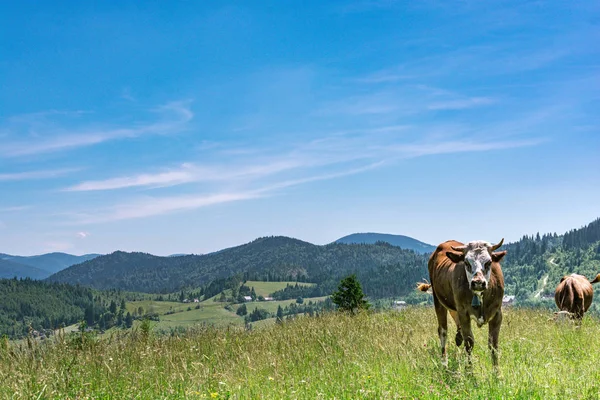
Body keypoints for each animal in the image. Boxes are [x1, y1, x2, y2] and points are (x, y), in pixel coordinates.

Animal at [418, 238, 506, 368]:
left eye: (489, 262)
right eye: (466, 262)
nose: (478, 282)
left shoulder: (497, 314)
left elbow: (493, 345)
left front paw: (496, 371)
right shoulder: (463, 313)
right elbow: (469, 342)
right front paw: (469, 369)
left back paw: (458, 338)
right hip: (438, 300)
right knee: (443, 331)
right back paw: (444, 363)